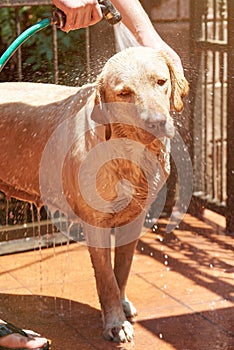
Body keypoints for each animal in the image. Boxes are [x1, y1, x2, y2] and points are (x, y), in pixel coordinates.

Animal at [0, 46, 188, 342]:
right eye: (124, 93)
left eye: (161, 81)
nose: (157, 123)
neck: (126, 153)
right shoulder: (95, 223)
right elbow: (106, 278)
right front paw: (115, 323)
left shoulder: (134, 219)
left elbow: (121, 270)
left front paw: (122, 306)